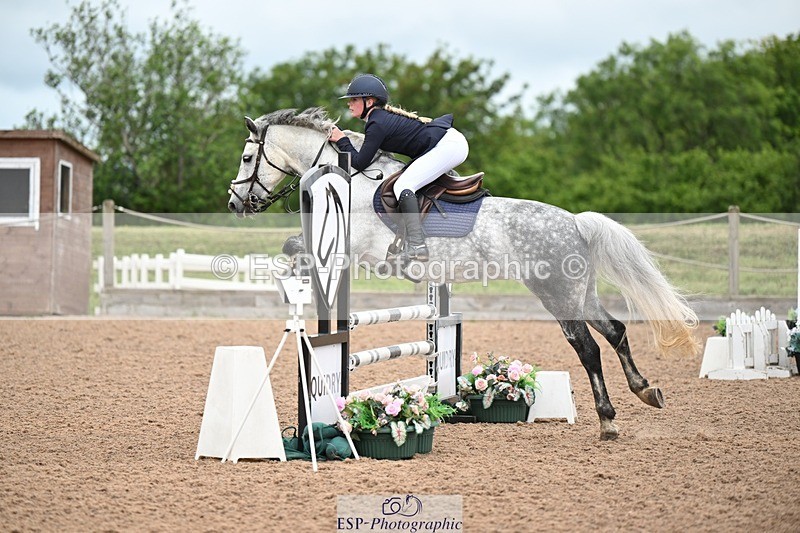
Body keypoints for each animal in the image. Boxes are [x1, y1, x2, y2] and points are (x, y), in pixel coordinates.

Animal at [227, 107, 699, 440]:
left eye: (248, 157)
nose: (235, 204)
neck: (353, 181)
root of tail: (575, 222)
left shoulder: (354, 249)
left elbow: (295, 248)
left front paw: (289, 276)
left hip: (557, 295)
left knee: (588, 348)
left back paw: (608, 421)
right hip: (582, 293)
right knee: (616, 330)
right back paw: (646, 390)